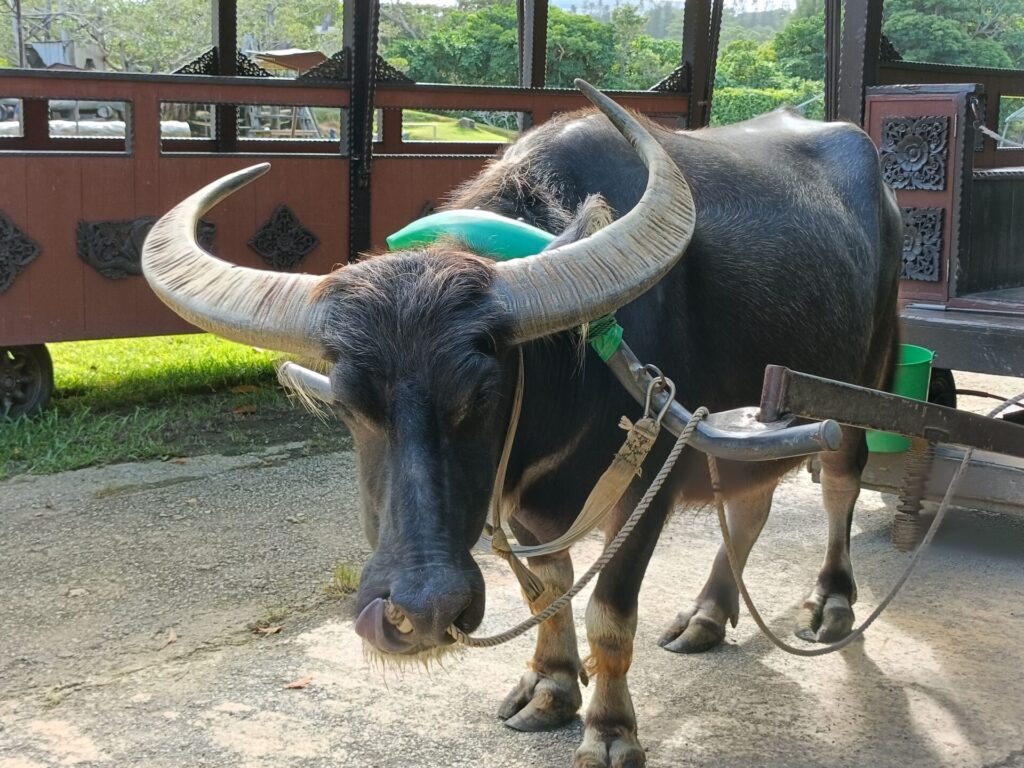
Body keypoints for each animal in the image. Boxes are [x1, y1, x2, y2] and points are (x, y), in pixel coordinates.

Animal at [140, 83, 901, 768]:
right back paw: (708, 615)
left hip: (866, 381)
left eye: (481, 393)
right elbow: (548, 590)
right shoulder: (526, 506)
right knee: (750, 500)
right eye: (349, 405)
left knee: (840, 481)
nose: (421, 612)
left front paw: (611, 731)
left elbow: (608, 614)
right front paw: (551, 688)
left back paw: (831, 602)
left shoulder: (650, 476)